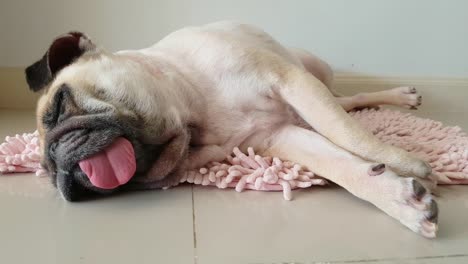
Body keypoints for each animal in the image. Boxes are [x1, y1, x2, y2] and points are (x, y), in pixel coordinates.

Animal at [25, 21, 436, 238]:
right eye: (44, 170)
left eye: (60, 104)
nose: (55, 161)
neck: (195, 112)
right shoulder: (281, 136)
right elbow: (341, 165)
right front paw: (397, 198)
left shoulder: (290, 80)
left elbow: (348, 133)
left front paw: (402, 159)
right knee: (345, 105)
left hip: (315, 71)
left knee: (346, 103)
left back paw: (398, 97)